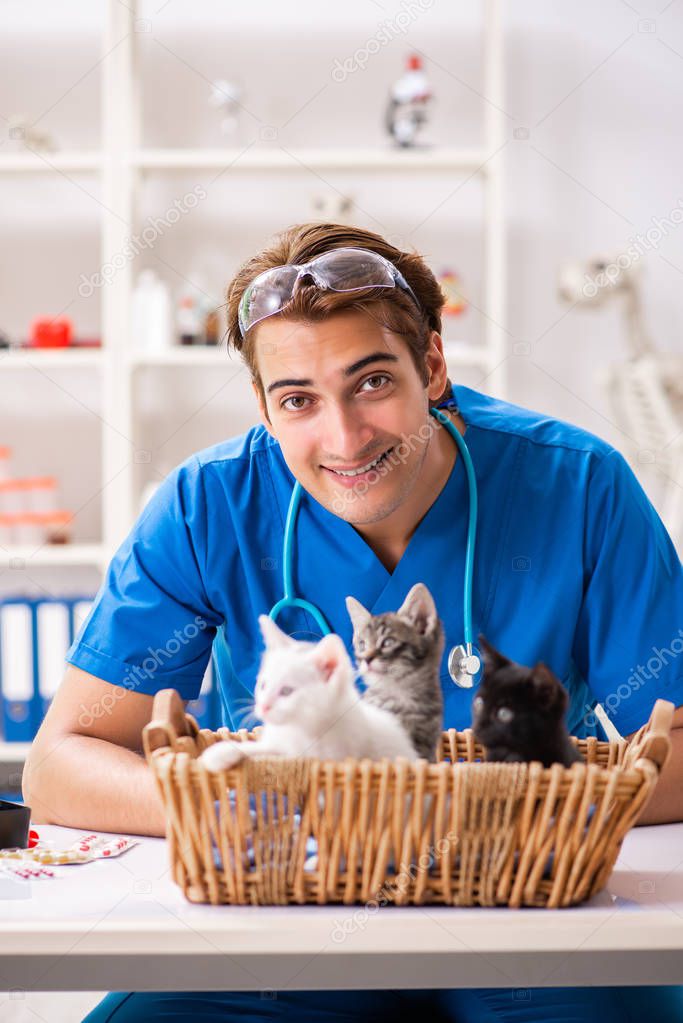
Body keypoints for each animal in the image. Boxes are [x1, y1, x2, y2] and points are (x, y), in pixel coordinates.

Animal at [198, 609, 417, 769]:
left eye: (287, 691)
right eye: (263, 685)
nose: (263, 707)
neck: (301, 727)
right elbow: (263, 748)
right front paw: (222, 752)